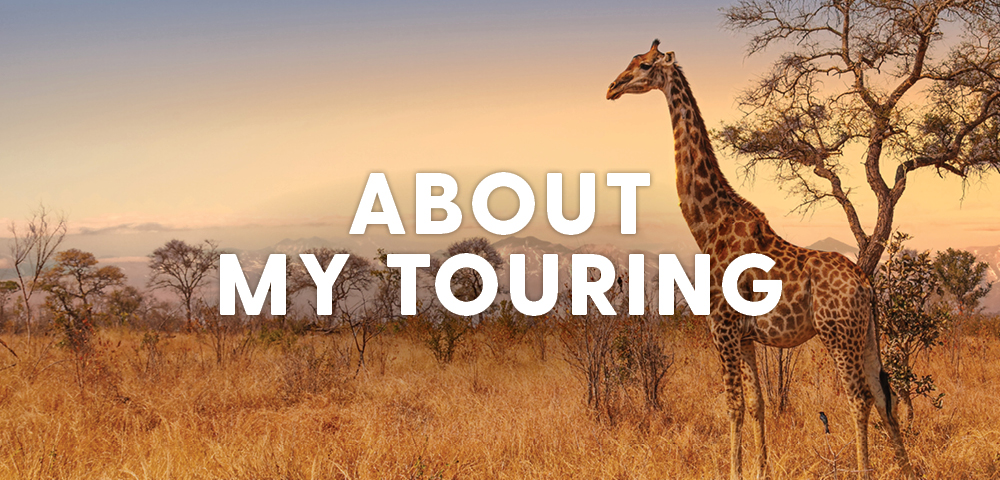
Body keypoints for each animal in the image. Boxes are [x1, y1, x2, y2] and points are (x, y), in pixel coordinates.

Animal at [606, 40, 914, 480]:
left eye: (645, 66)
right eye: (631, 62)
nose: (612, 87)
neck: (708, 226)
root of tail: (866, 284)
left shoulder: (721, 327)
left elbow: (733, 407)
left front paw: (733, 470)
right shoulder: (746, 337)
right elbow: (757, 404)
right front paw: (759, 470)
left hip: (837, 332)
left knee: (859, 397)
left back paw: (864, 471)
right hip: (867, 332)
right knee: (883, 393)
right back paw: (908, 469)